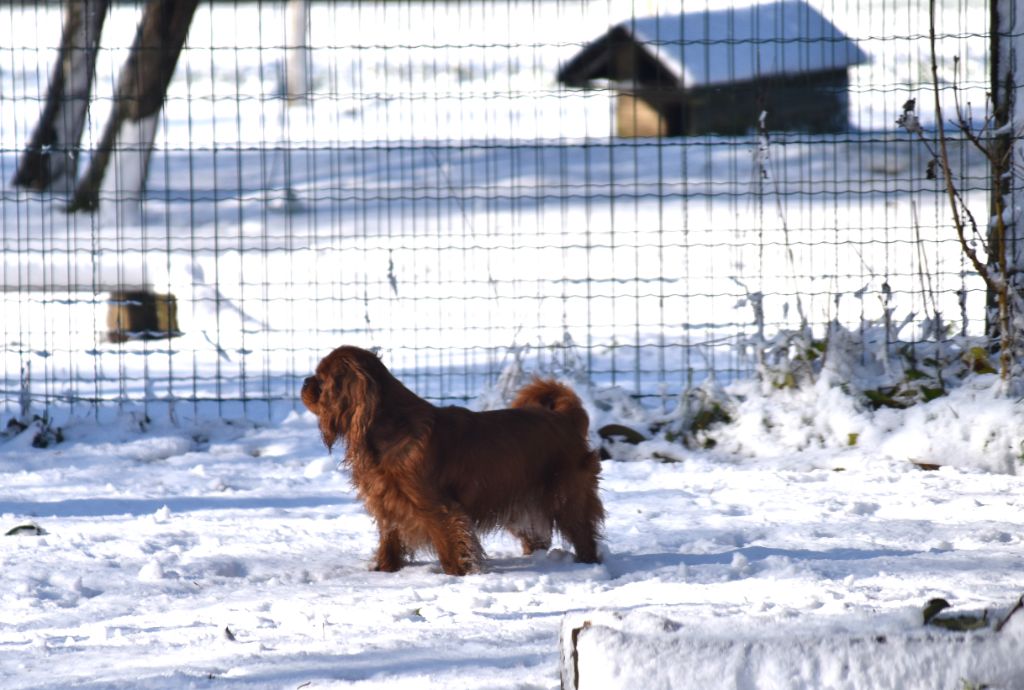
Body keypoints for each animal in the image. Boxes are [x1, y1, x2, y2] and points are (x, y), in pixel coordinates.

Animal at [301, 345, 604, 575]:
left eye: (321, 379)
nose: (304, 382)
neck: (391, 427)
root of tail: (564, 417)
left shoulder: (438, 507)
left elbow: (448, 545)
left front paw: (456, 576)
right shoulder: (387, 503)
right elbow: (390, 541)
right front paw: (384, 571)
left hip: (567, 498)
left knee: (584, 535)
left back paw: (588, 564)